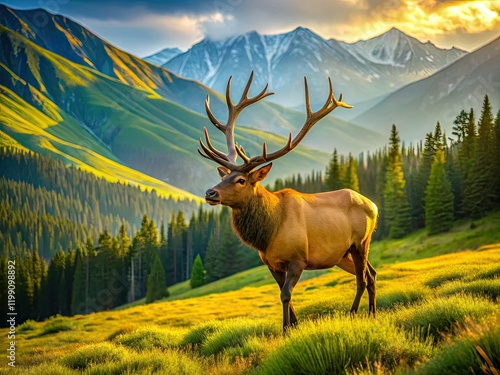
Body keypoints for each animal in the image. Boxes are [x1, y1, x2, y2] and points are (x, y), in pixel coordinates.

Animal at [197, 72, 376, 330]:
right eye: (224, 176)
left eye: (241, 180)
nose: (210, 193)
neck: (268, 234)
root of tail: (374, 205)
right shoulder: (272, 264)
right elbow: (284, 296)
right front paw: (293, 325)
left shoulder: (298, 259)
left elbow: (285, 295)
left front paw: (285, 330)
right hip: (343, 255)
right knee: (371, 275)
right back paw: (372, 313)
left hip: (360, 242)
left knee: (362, 279)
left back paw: (354, 314)